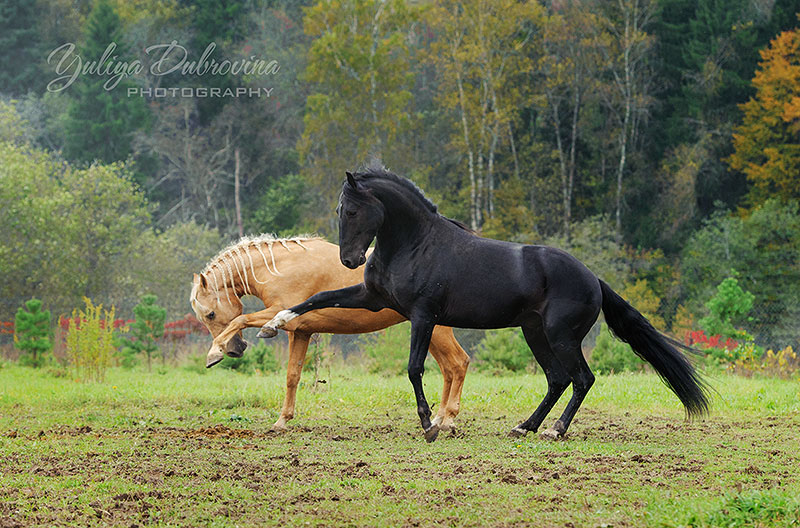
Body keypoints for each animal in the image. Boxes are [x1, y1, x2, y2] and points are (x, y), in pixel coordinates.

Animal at [190, 235, 468, 434]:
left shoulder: (279, 312)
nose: (236, 349)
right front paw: (282, 421)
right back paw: (440, 418)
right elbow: (292, 376)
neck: (280, 268)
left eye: (210, 314)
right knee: (449, 369)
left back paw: (448, 420)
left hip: (435, 331)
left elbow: (240, 319)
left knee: (458, 363)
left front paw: (214, 352)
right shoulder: (300, 332)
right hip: (429, 333)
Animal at [256, 166, 708, 442]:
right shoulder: (372, 298)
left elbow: (414, 368)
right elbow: (315, 298)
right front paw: (273, 324)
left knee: (581, 379)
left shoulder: (422, 316)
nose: (349, 260)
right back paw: (524, 427)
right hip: (534, 333)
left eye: (352, 210)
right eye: (339, 209)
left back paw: (555, 430)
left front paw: (430, 424)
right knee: (557, 380)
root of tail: (591, 277)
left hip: (561, 336)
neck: (414, 244)